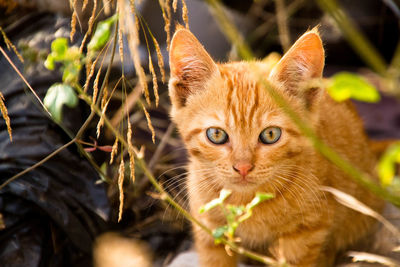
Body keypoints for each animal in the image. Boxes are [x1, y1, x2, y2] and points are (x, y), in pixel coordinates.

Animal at [167, 27, 382, 267]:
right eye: (216, 134)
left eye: (270, 135)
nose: (243, 167)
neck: (246, 201)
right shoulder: (209, 228)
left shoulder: (307, 232)